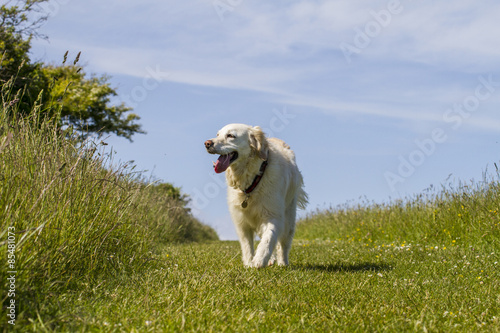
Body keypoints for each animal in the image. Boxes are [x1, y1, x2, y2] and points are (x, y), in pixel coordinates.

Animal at [204, 124, 306, 268]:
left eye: (230, 135)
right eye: (217, 134)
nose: (207, 143)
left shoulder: (273, 215)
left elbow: (269, 238)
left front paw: (259, 260)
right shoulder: (241, 221)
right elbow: (247, 245)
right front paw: (248, 264)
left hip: (289, 216)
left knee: (284, 243)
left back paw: (283, 263)